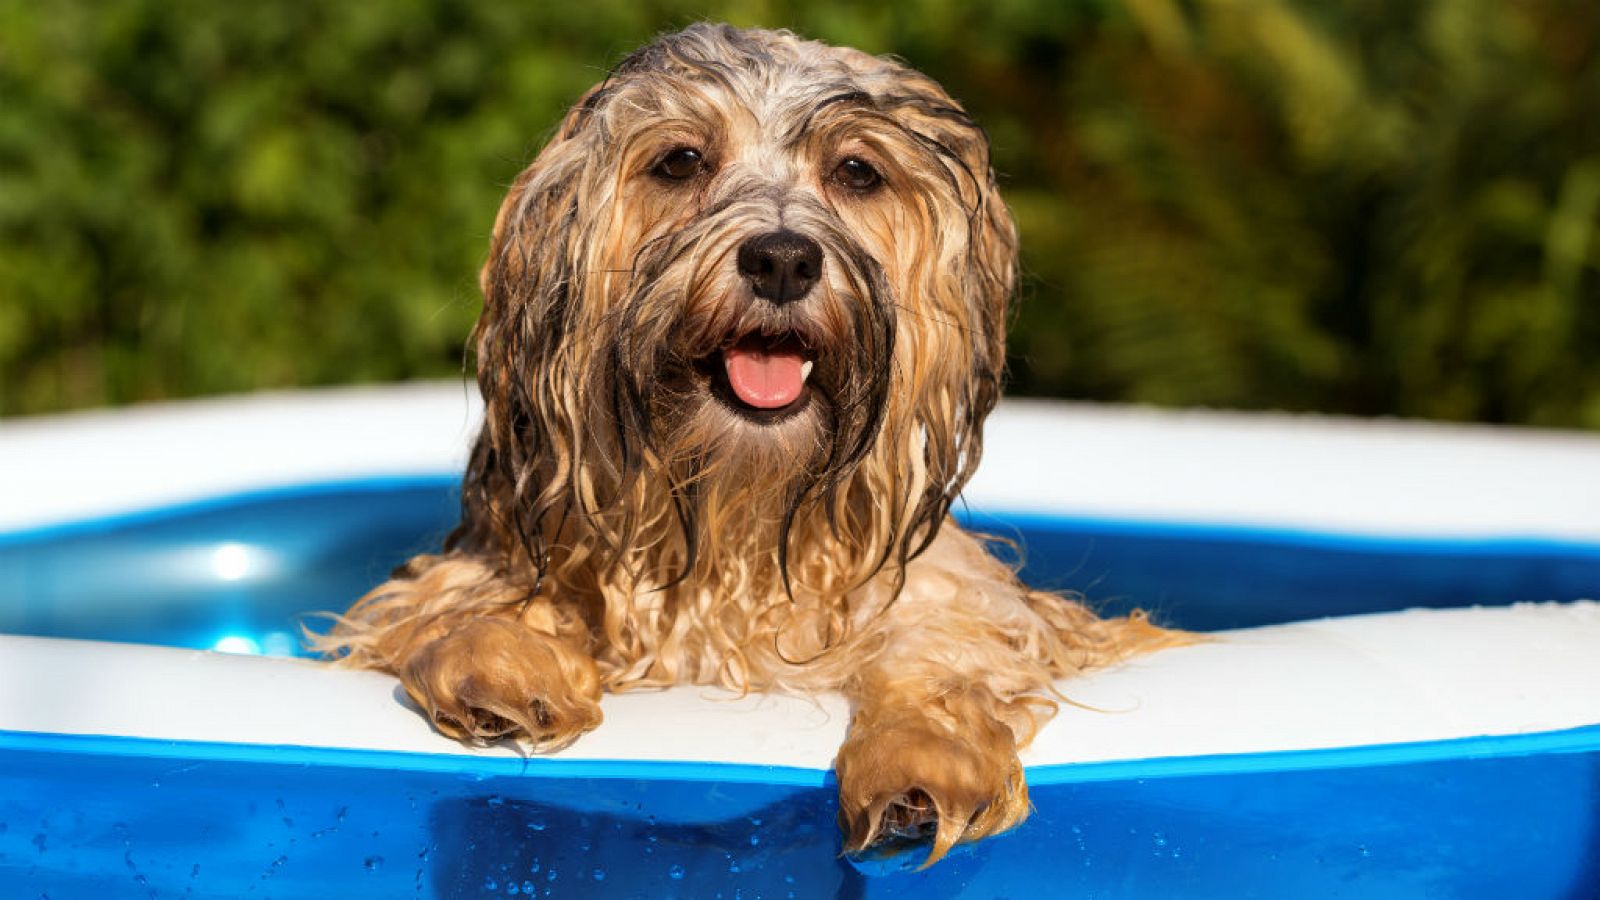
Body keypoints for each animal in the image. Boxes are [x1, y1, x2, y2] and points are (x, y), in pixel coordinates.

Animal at [321, 21, 1177, 864]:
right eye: (680, 160)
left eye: (857, 171)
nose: (783, 258)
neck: (737, 512)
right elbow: (454, 602)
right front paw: (495, 660)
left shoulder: (956, 597)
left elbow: (943, 643)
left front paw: (923, 758)